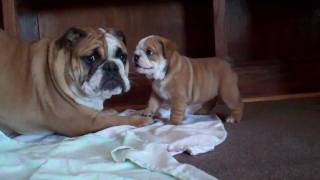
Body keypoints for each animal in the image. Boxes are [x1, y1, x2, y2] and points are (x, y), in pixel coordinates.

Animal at [0, 27, 152, 136]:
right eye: (90, 58)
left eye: (122, 57)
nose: (111, 66)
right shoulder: (86, 122)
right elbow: (115, 120)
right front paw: (139, 119)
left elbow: (108, 113)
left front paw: (119, 111)